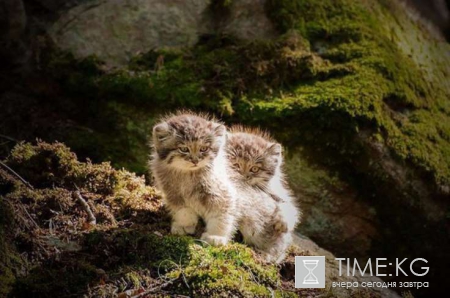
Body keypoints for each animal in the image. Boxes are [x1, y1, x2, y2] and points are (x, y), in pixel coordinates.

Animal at [149, 112, 237, 244]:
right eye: (184, 149)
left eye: (203, 149)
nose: (195, 161)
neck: (188, 176)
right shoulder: (174, 194)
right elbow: (183, 211)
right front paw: (184, 225)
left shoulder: (221, 193)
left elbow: (221, 215)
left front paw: (216, 236)